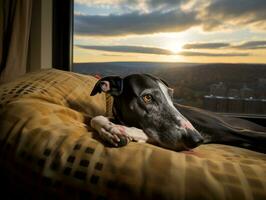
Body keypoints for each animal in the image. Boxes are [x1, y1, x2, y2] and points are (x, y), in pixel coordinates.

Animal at [90, 74, 266, 152]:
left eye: (171, 96)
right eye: (147, 97)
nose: (196, 139)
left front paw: (116, 129)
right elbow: (94, 118)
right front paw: (112, 130)